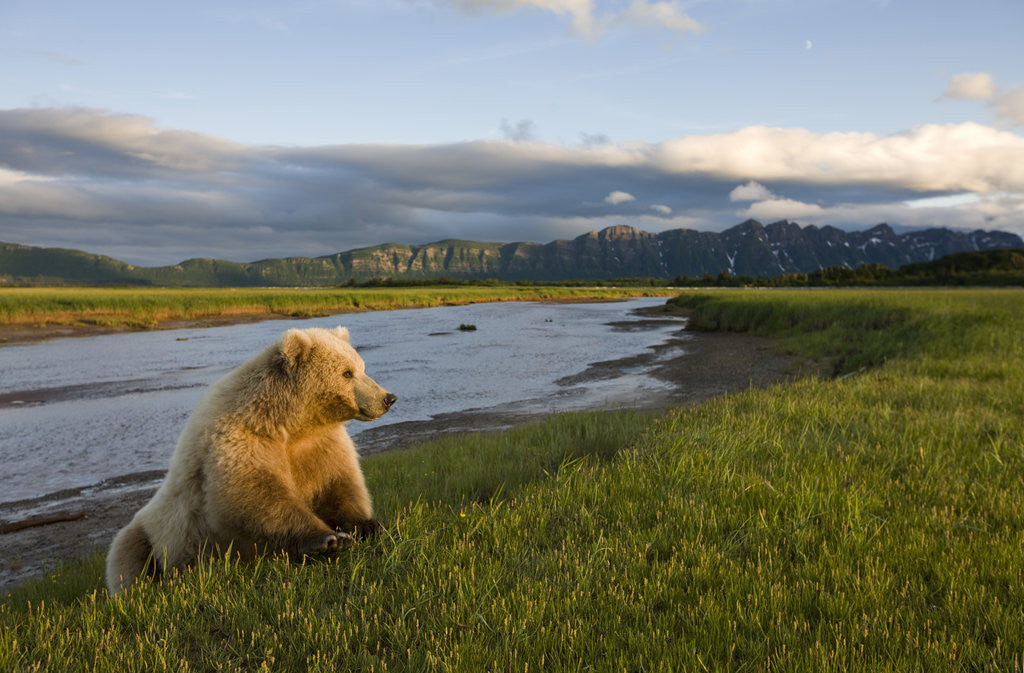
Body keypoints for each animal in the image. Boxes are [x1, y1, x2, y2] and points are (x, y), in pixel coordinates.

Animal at [105, 326, 396, 594]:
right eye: (347, 372)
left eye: (362, 367)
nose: (388, 398)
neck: (287, 423)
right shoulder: (240, 441)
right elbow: (255, 495)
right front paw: (329, 540)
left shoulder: (320, 444)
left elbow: (337, 484)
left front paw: (368, 525)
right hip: (153, 534)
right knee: (129, 561)